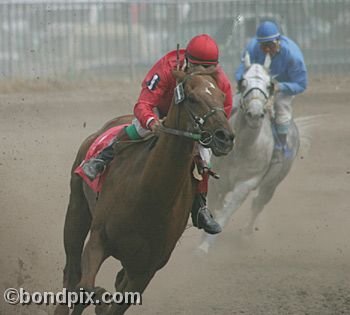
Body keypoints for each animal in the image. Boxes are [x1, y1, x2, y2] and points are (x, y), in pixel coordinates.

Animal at [54, 66, 234, 315]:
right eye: (192, 98)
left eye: (222, 97)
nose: (225, 137)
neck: (149, 196)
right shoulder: (98, 239)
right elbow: (87, 286)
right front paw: (100, 297)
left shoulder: (146, 268)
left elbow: (117, 301)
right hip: (77, 209)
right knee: (72, 274)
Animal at [197, 53, 300, 253]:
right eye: (242, 82)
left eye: (269, 85)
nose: (254, 113)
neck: (242, 149)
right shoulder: (217, 180)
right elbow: (213, 205)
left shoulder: (245, 184)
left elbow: (227, 213)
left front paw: (205, 246)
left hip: (272, 184)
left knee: (258, 203)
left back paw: (246, 234)